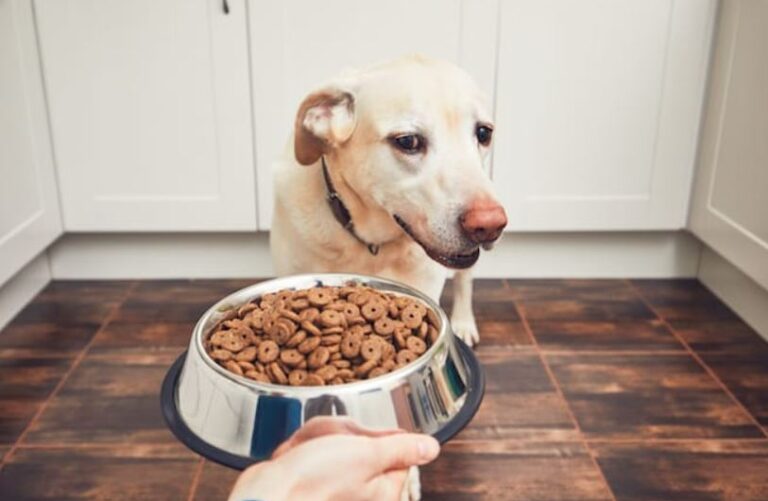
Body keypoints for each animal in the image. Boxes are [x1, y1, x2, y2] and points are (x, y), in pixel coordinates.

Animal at [272, 53, 510, 496]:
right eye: (408, 142)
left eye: (483, 133)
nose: (490, 225)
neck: (369, 241)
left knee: (465, 283)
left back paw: (464, 321)